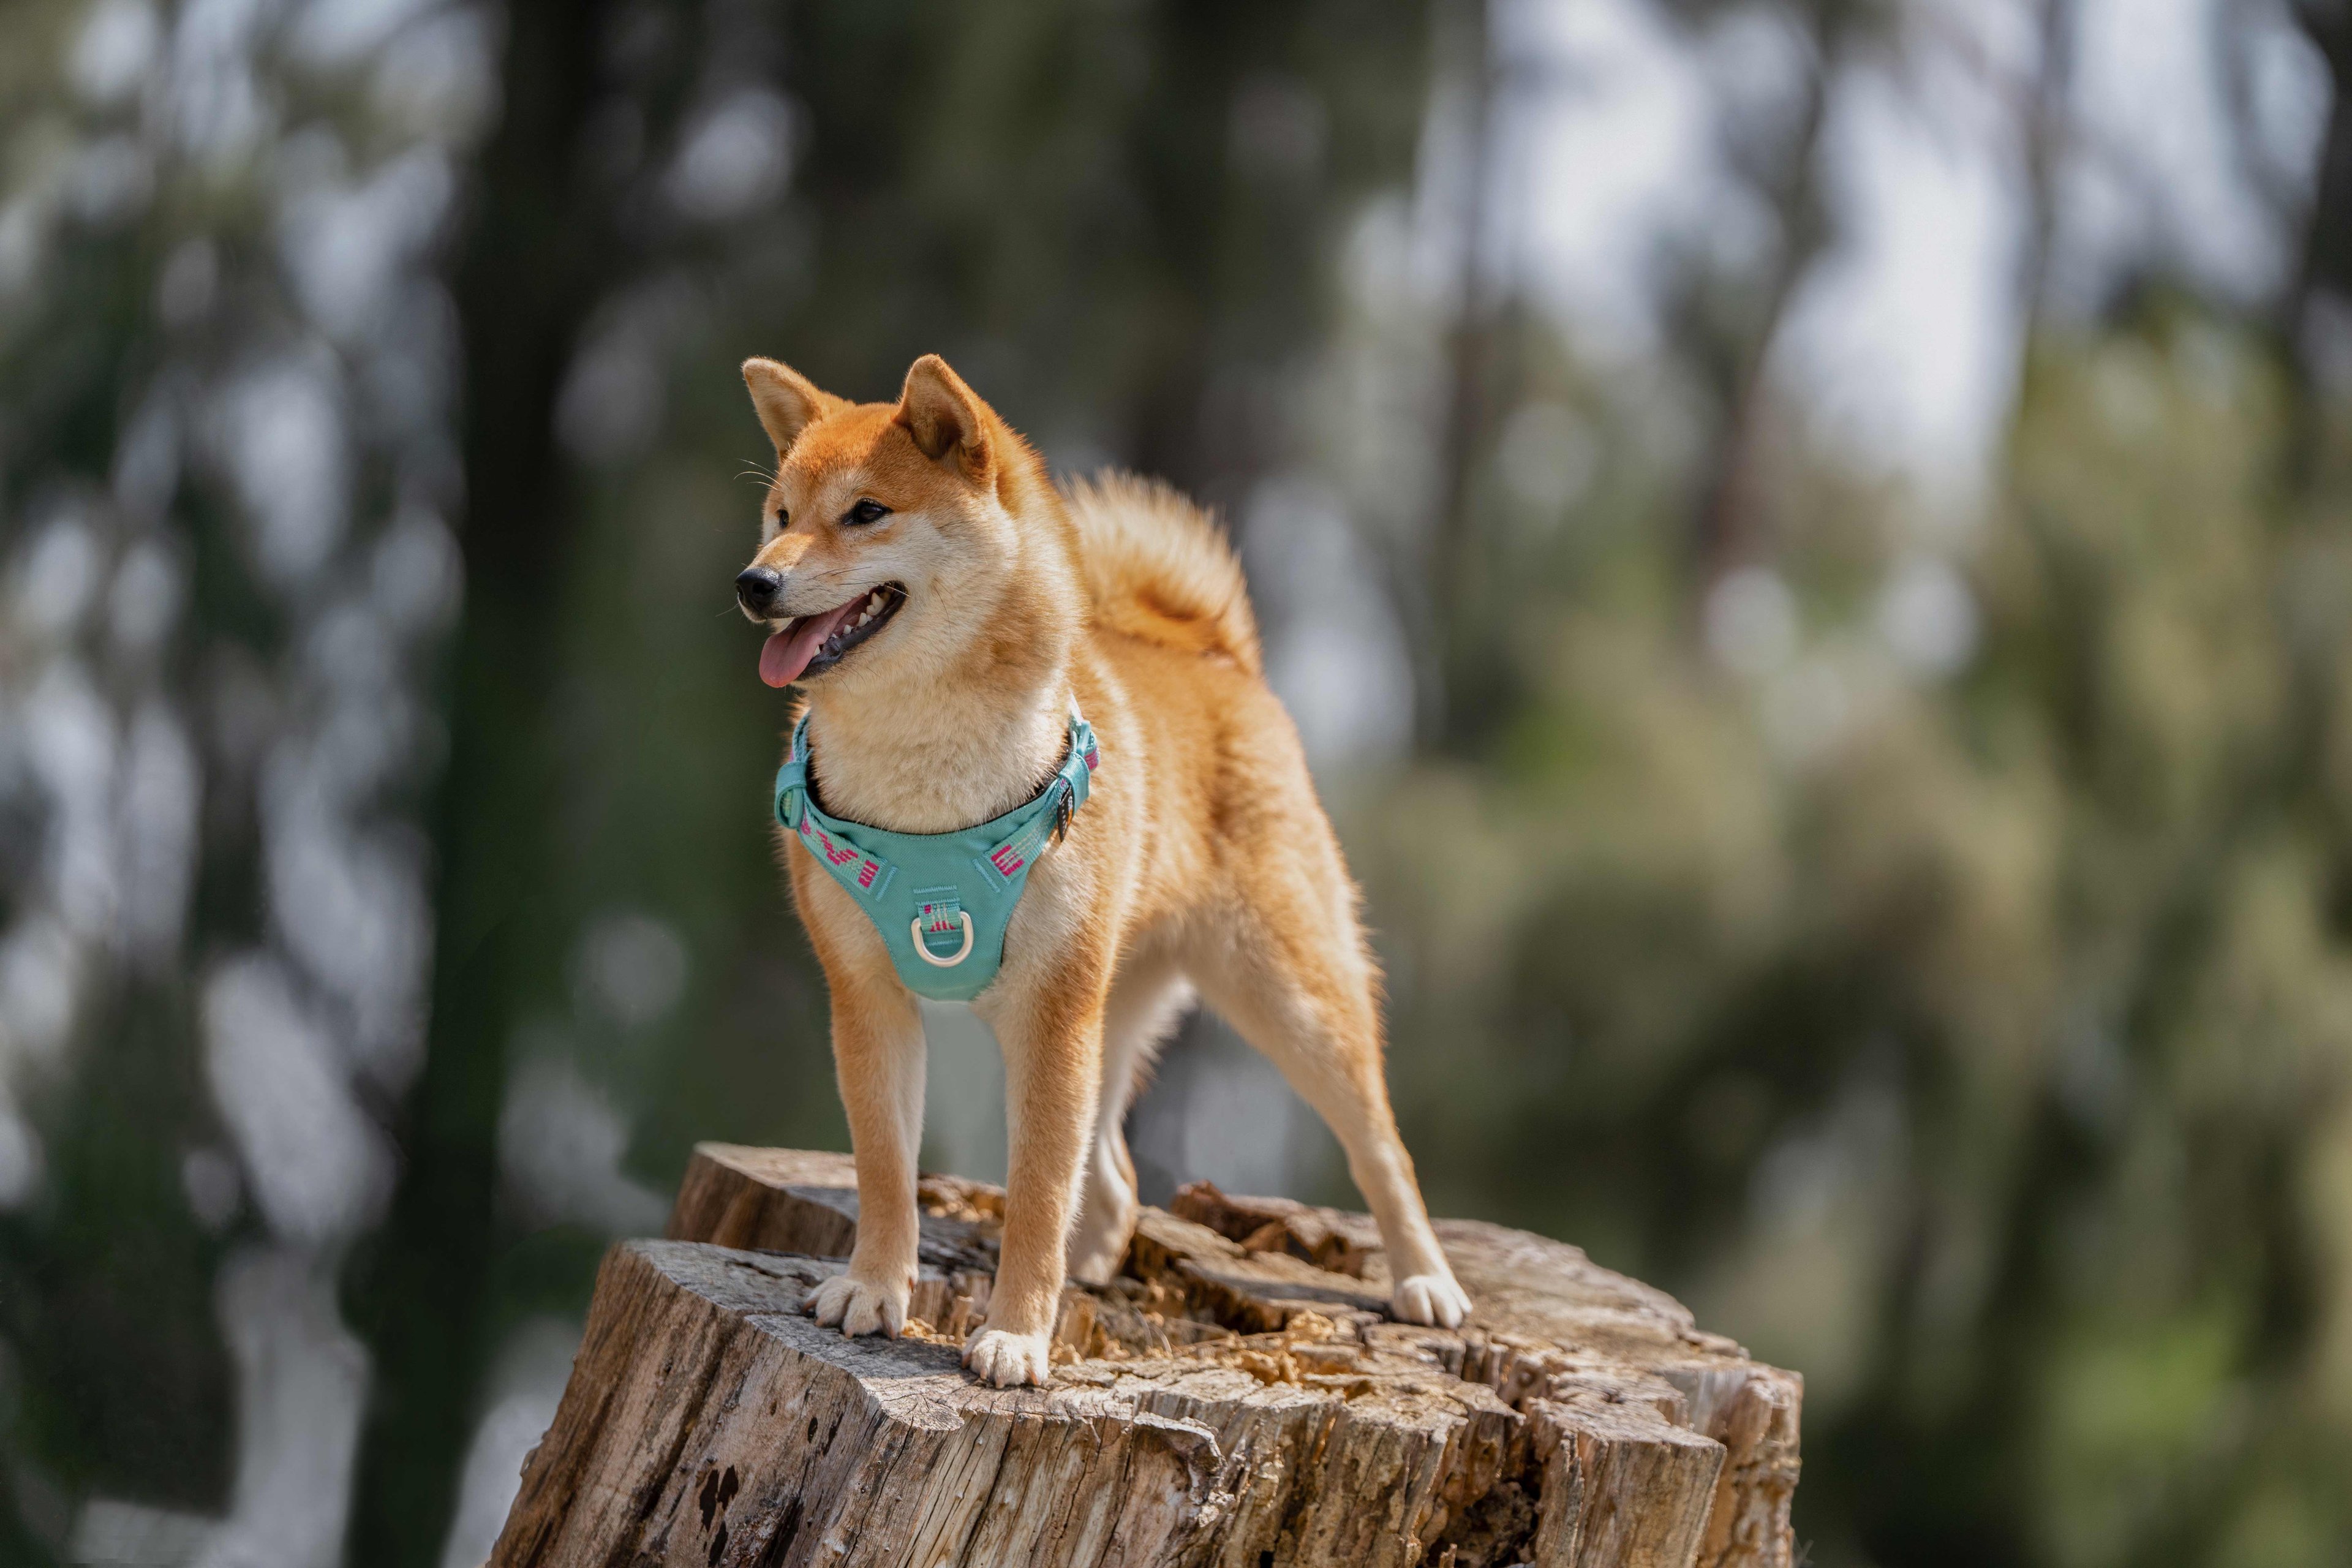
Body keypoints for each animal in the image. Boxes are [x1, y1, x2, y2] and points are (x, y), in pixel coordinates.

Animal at [734, 352, 1468, 1382]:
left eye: (867, 511)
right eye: (782, 513)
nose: (755, 583)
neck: (927, 788)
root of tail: (1213, 652)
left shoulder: (1051, 1014)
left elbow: (1039, 1191)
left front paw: (1012, 1332)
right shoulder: (866, 997)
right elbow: (886, 1170)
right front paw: (875, 1291)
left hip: (1284, 998)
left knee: (1380, 1150)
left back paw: (1426, 1280)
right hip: (1103, 1009)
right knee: (1113, 1183)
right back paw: (1087, 1270)